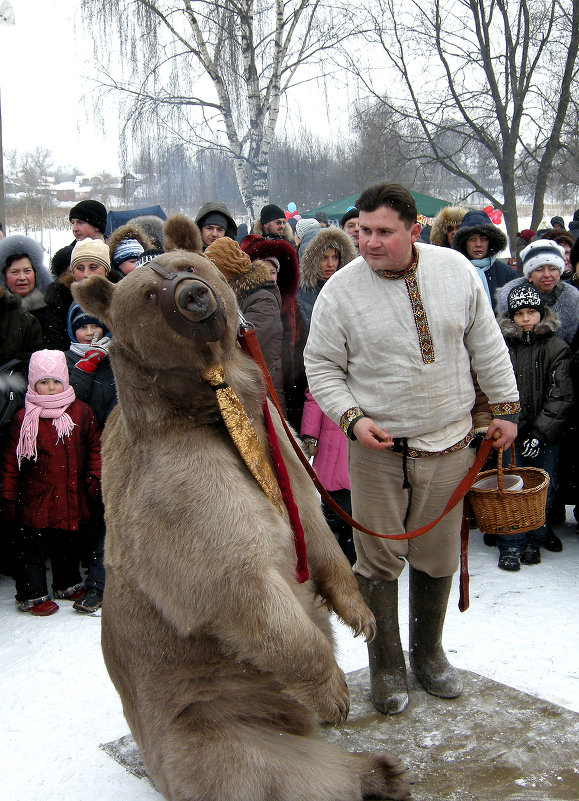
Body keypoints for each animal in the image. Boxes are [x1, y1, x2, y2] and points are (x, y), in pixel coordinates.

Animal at [71, 214, 412, 800]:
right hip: (210, 714)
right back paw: (373, 771)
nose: (194, 296)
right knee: (275, 769)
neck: (214, 406)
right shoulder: (180, 492)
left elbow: (313, 523)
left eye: (187, 264)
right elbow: (241, 586)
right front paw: (335, 690)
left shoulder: (274, 435)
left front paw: (362, 615)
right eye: (148, 292)